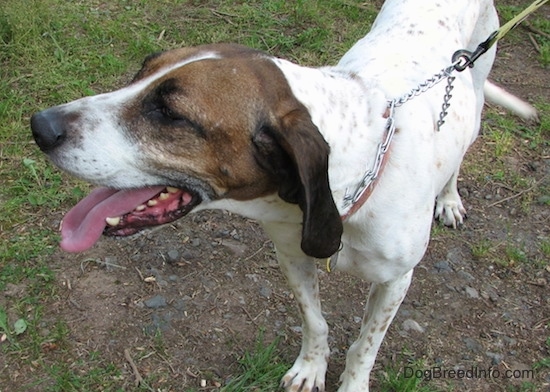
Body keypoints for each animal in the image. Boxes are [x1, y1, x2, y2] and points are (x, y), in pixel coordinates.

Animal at [31, 1, 540, 390]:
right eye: (142, 71)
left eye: (171, 113)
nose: (39, 126)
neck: (352, 187)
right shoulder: (291, 254)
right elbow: (315, 321)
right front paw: (310, 368)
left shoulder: (396, 281)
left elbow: (365, 344)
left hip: (476, 93)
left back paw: (449, 197)